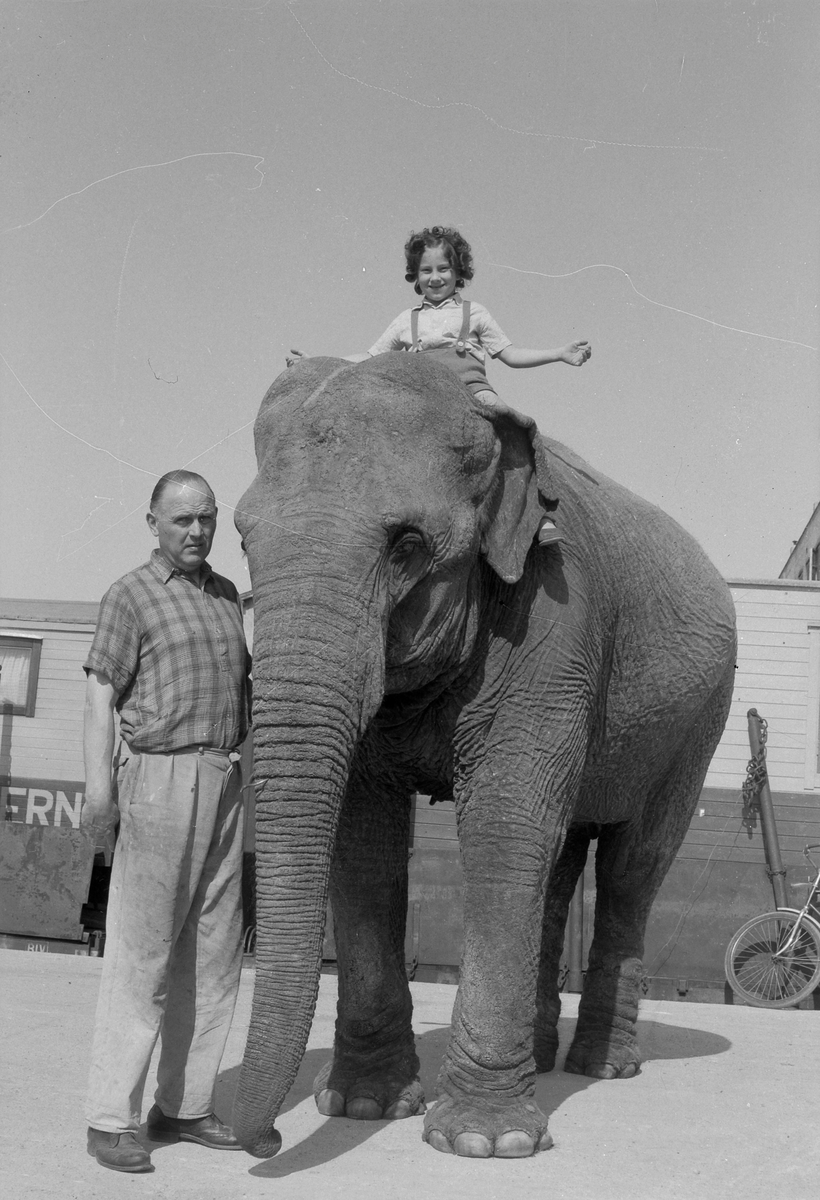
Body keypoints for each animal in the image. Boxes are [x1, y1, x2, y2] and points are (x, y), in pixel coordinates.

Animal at [230, 352, 739, 1161]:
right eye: (244, 539)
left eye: (407, 544)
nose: (264, 1140)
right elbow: (365, 839)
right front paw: (365, 1105)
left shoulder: (557, 618)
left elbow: (502, 823)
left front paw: (481, 1141)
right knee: (560, 861)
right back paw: (545, 1053)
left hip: (697, 722)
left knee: (634, 866)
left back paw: (603, 1065)